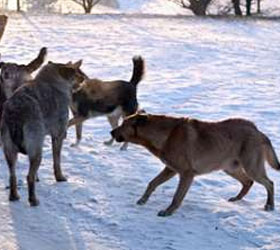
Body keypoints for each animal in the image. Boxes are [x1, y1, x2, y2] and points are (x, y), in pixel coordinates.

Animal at [1, 60, 81, 205]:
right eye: (76, 73)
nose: (84, 79)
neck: (53, 81)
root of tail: (16, 112)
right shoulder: (58, 135)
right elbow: (57, 161)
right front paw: (60, 177)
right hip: (37, 149)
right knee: (29, 177)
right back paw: (33, 200)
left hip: (10, 150)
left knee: (12, 176)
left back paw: (14, 197)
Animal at [112, 114, 280, 216]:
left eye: (123, 124)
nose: (111, 132)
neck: (166, 136)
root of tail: (257, 131)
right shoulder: (170, 169)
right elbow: (152, 183)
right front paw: (143, 200)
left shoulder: (186, 174)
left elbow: (177, 196)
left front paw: (168, 212)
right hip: (230, 167)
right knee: (248, 182)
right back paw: (237, 199)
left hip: (251, 167)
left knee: (269, 183)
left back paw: (269, 205)